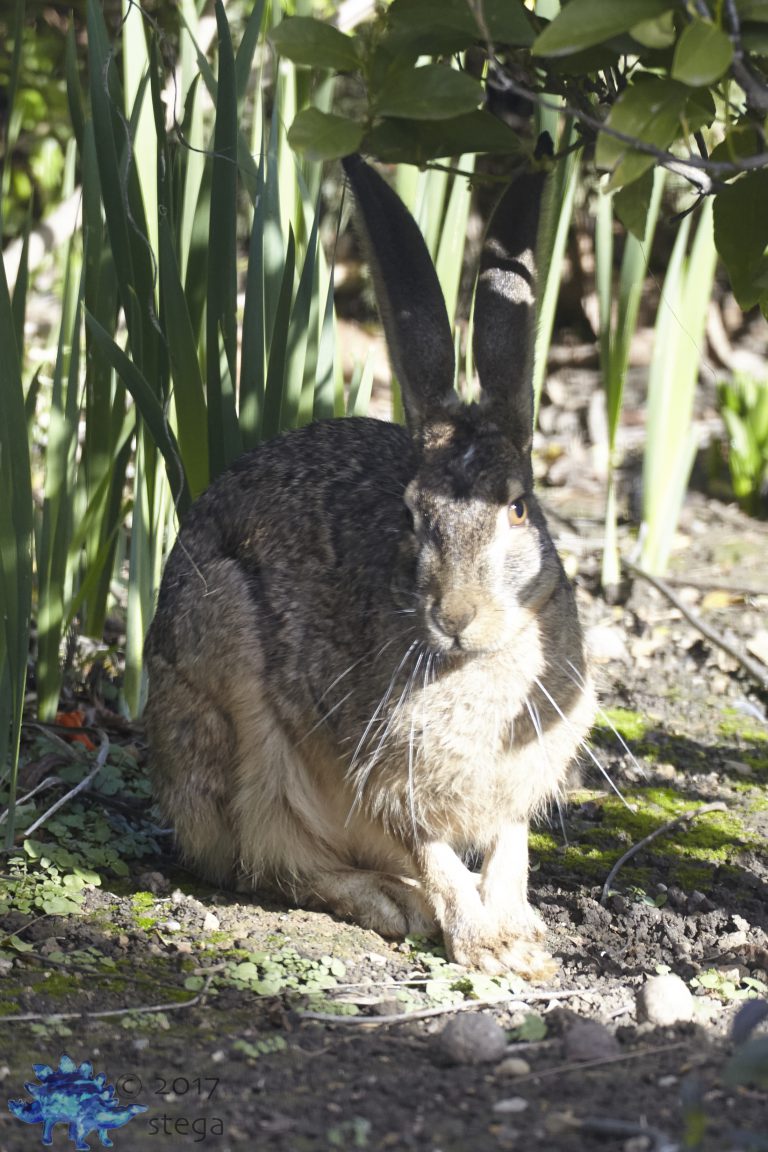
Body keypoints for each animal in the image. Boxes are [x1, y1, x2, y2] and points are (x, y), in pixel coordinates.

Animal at [144, 152, 596, 979]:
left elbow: (508, 846)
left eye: (518, 508)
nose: (455, 617)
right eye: (412, 516)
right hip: (230, 684)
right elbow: (434, 854)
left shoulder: (517, 784)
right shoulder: (382, 776)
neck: (479, 663)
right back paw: (394, 902)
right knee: (264, 860)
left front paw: (521, 938)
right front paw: (486, 945)